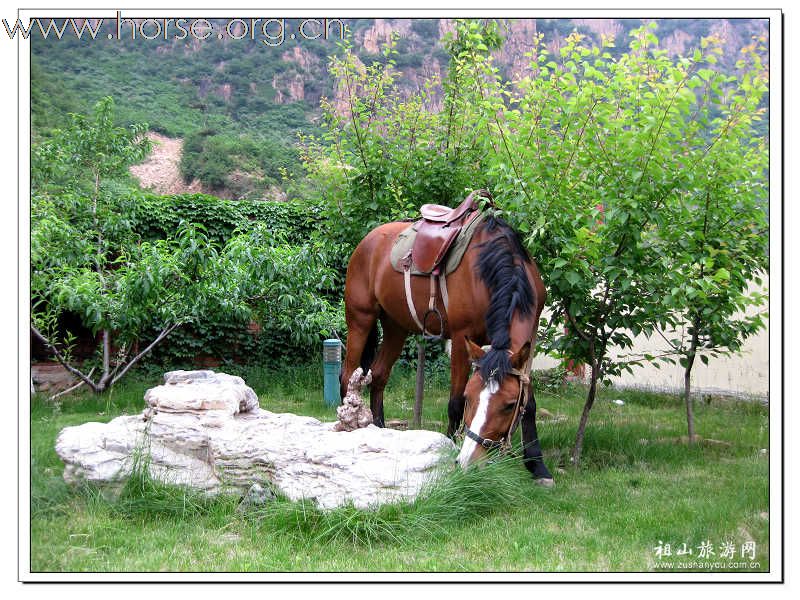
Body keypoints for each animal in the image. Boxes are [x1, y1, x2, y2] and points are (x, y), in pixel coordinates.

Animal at [340, 200, 552, 482]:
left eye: (508, 406)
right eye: (471, 397)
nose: (472, 459)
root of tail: (368, 240)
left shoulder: (528, 340)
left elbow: (529, 403)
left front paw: (538, 465)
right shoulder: (462, 338)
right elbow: (454, 403)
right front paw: (451, 448)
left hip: (396, 327)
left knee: (379, 375)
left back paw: (381, 429)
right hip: (360, 320)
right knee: (347, 375)